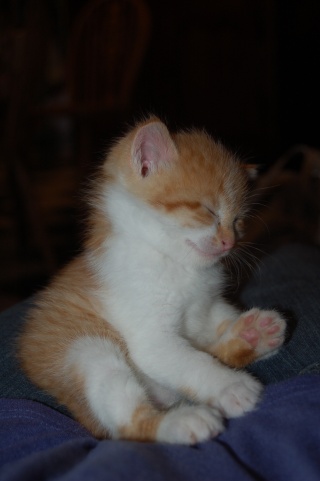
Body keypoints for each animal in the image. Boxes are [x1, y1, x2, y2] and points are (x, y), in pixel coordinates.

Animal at [18, 116, 286, 442]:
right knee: (127, 423)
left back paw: (255, 336)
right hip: (85, 350)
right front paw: (229, 385)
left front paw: (243, 327)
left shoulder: (205, 306)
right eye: (208, 211)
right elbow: (192, 360)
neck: (174, 261)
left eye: (238, 221)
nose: (229, 242)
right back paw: (183, 421)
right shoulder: (150, 336)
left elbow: (217, 324)